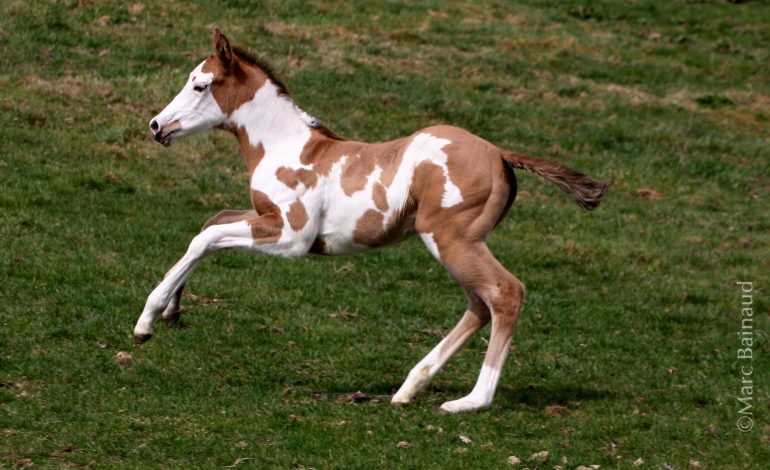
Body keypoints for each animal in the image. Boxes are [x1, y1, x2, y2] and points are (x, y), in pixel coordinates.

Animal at [136, 28, 608, 412]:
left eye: (200, 84)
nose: (157, 126)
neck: (285, 145)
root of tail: (499, 154)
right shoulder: (264, 215)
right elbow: (209, 222)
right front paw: (173, 312)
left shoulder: (292, 236)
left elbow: (207, 236)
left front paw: (147, 321)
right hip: (459, 244)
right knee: (479, 303)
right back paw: (409, 389)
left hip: (451, 239)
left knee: (505, 293)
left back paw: (471, 401)